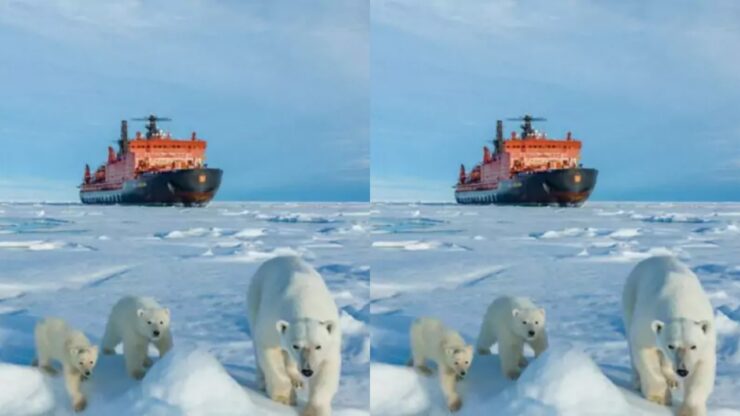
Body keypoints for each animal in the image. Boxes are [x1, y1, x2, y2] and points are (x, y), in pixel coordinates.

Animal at [247, 255, 342, 416]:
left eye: (318, 346)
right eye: (296, 345)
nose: (307, 370)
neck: (305, 303)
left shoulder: (330, 339)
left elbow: (326, 368)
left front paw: (314, 411)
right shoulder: (271, 319)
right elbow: (268, 350)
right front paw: (284, 398)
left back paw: (296, 379)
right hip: (256, 295)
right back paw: (261, 380)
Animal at [620, 256, 712, 416]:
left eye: (693, 346)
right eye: (671, 346)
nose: (682, 370)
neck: (681, 304)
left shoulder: (705, 339)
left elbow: (701, 368)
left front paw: (690, 411)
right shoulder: (647, 319)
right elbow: (644, 349)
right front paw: (659, 398)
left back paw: (672, 379)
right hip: (631, 296)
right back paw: (637, 380)